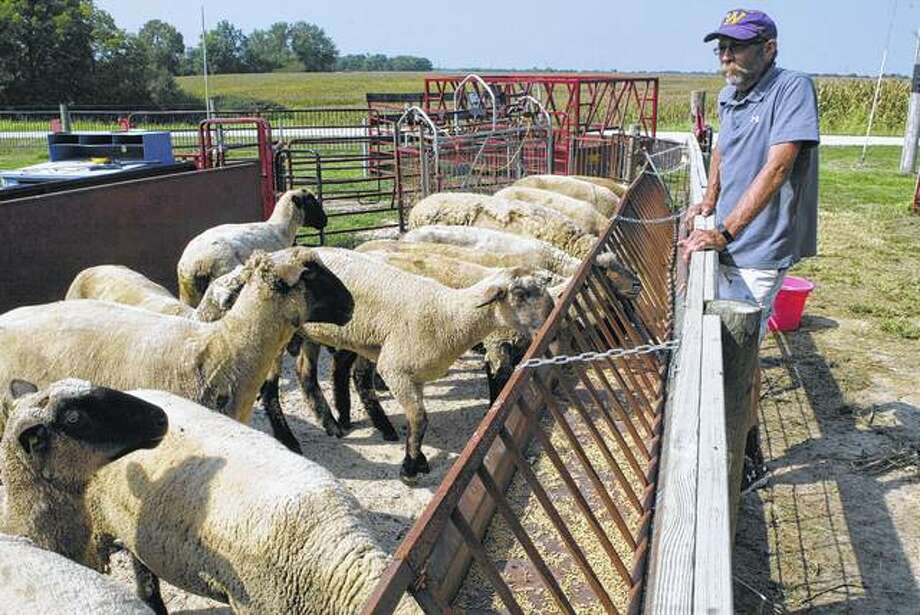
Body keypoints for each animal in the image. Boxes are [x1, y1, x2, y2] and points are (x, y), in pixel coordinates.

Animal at [176, 188, 326, 307]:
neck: (281, 229)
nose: (325, 221)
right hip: (223, 271)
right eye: (311, 202)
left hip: (189, 294)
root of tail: (191, 265)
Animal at [297, 248, 555, 484]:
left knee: (314, 371)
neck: (448, 316)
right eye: (519, 293)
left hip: (331, 337)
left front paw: (418, 459)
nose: (550, 316)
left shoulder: (415, 375)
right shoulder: (396, 370)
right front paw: (410, 468)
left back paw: (339, 422)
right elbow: (419, 418)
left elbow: (418, 420)